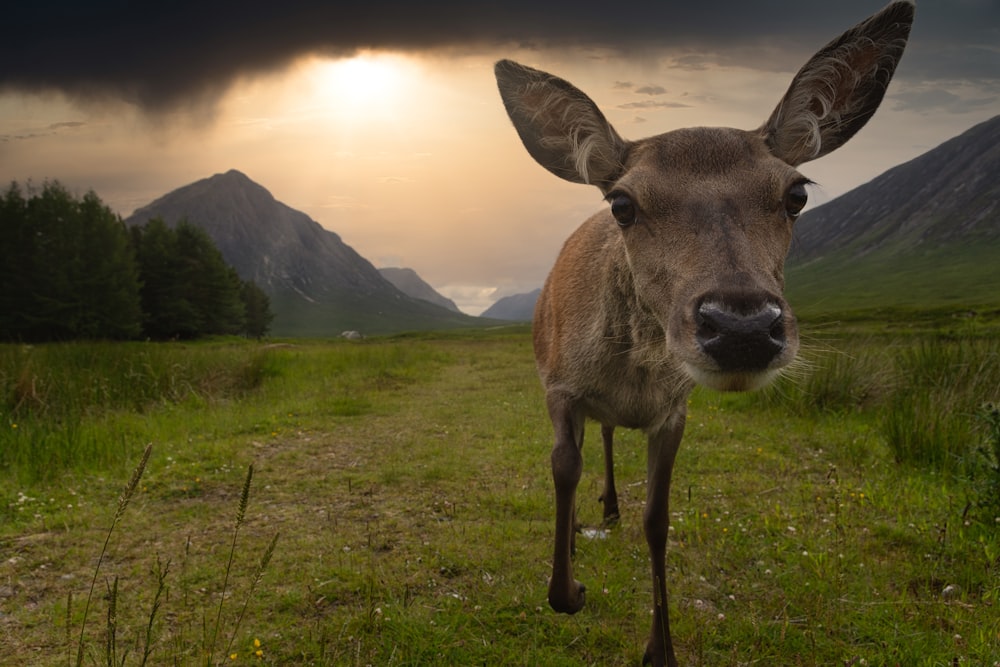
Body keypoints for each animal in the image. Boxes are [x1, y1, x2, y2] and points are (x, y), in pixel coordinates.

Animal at [494, 2, 916, 664]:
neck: (634, 374)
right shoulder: (559, 385)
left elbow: (658, 519)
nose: (743, 327)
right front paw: (569, 588)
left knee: (610, 437)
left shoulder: (674, 408)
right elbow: (563, 469)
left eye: (796, 193)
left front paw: (660, 647)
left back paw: (610, 506)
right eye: (622, 204)